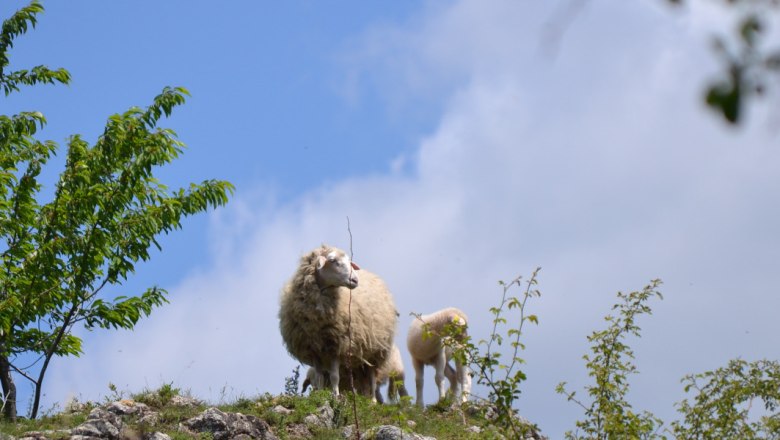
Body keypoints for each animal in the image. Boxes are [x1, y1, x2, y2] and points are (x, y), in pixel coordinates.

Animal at [278, 246, 396, 400]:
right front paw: (320, 395)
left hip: (375, 351)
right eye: (333, 260)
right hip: (358, 358)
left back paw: (372, 401)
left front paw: (335, 396)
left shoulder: (335, 345)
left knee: (372, 379)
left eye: (349, 261)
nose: (355, 280)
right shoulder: (314, 350)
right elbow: (320, 377)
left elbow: (334, 376)